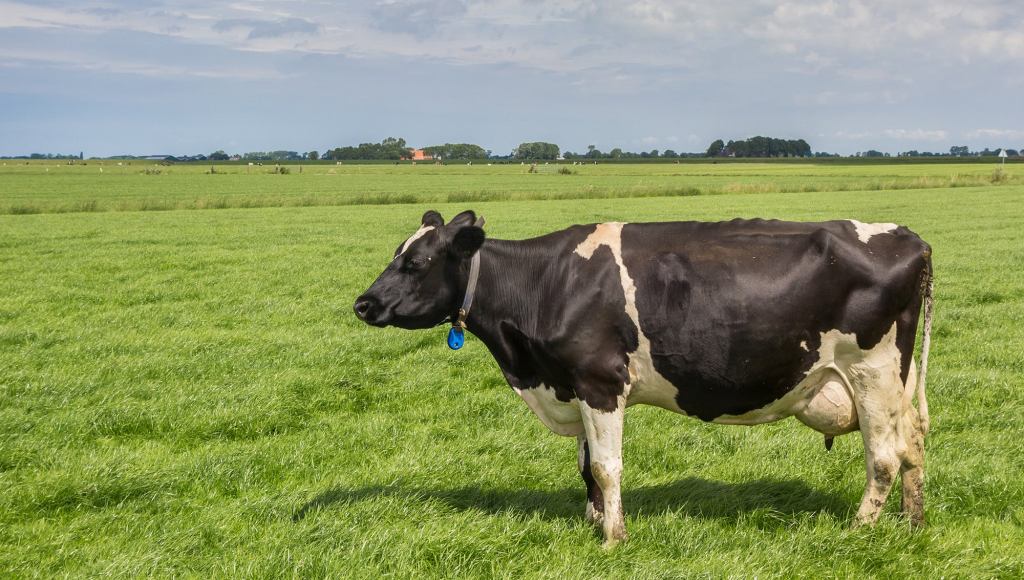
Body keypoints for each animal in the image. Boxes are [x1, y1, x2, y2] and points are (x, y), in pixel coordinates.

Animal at [353, 210, 934, 547]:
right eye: (397, 254)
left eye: (417, 261)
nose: (362, 303)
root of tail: (908, 236)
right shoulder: (575, 384)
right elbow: (585, 466)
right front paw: (594, 523)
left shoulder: (599, 381)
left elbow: (606, 466)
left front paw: (614, 538)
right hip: (898, 382)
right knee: (913, 444)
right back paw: (913, 521)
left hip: (871, 369)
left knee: (884, 456)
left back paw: (859, 530)